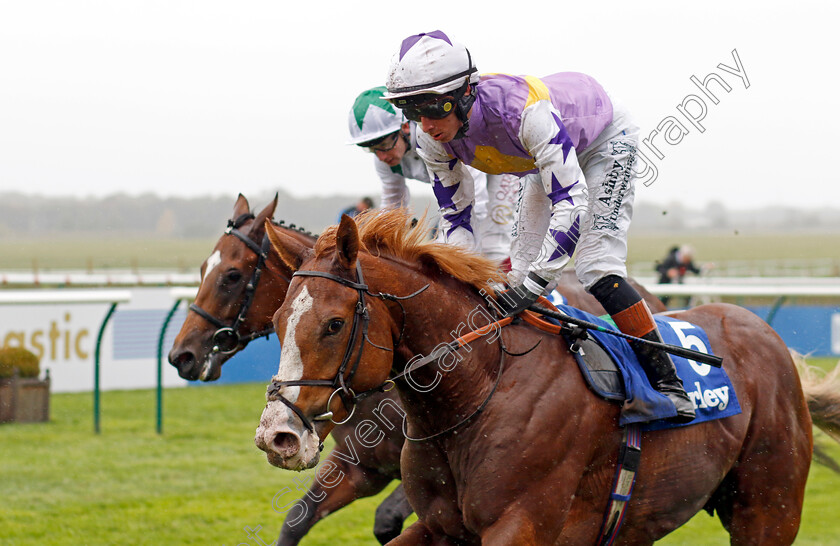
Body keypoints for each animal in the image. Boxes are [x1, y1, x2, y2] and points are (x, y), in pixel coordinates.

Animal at [169, 193, 668, 540]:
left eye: (232, 275)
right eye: (278, 318)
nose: (181, 355)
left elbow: (387, 520)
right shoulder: (360, 465)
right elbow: (297, 519)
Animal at [258, 209, 840, 544]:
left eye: (334, 324)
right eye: (278, 319)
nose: (276, 436)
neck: (479, 392)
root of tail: (763, 331)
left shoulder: (519, 526)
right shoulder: (441, 526)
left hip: (768, 508)